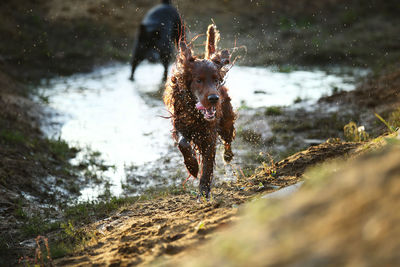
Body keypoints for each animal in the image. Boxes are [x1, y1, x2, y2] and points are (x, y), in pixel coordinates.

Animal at [163, 24, 236, 199]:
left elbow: (208, 164)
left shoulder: (209, 135)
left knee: (228, 139)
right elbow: (182, 143)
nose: (214, 98)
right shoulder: (180, 125)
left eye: (216, 79)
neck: (196, 114)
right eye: (198, 80)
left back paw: (228, 155)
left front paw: (204, 189)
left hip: (226, 122)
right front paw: (192, 166)